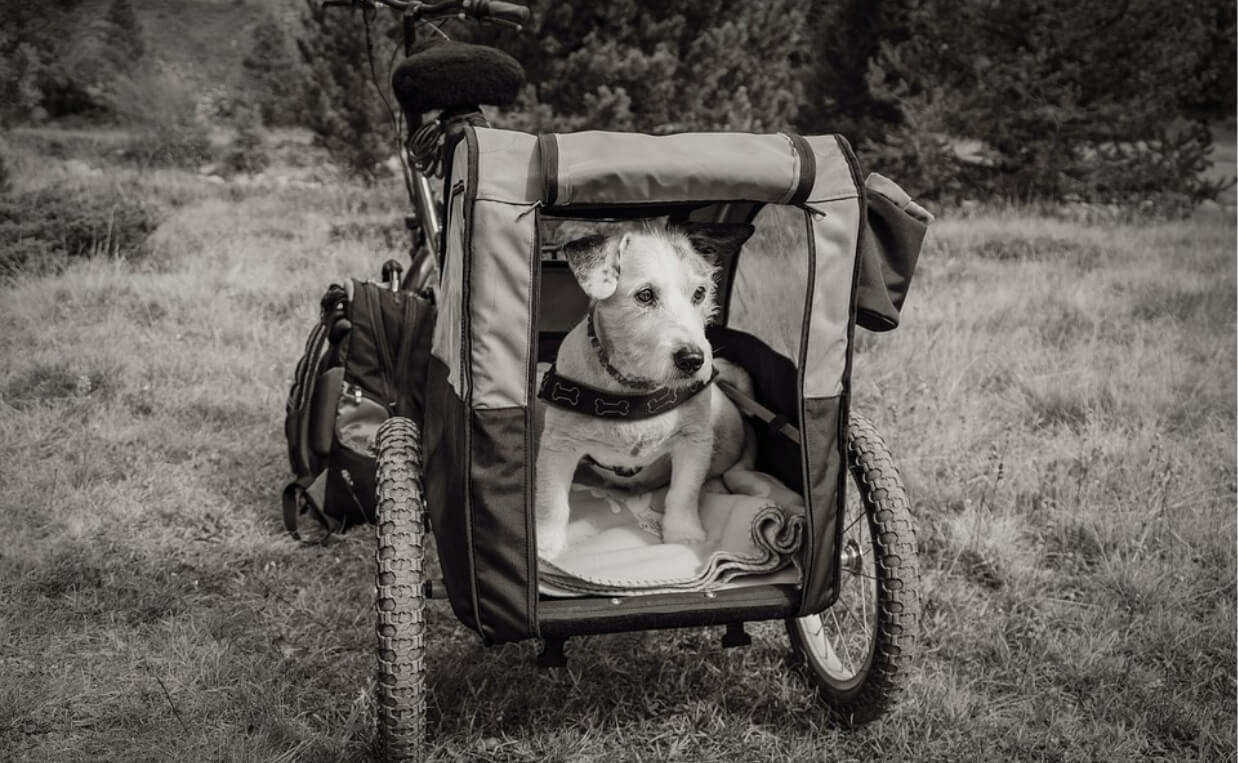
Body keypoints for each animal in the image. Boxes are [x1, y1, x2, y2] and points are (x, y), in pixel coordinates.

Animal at [537, 221, 757, 559]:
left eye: (700, 293)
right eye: (645, 295)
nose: (693, 360)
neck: (634, 388)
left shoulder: (694, 441)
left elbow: (683, 492)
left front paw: (684, 534)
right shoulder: (558, 445)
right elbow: (552, 500)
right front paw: (546, 545)